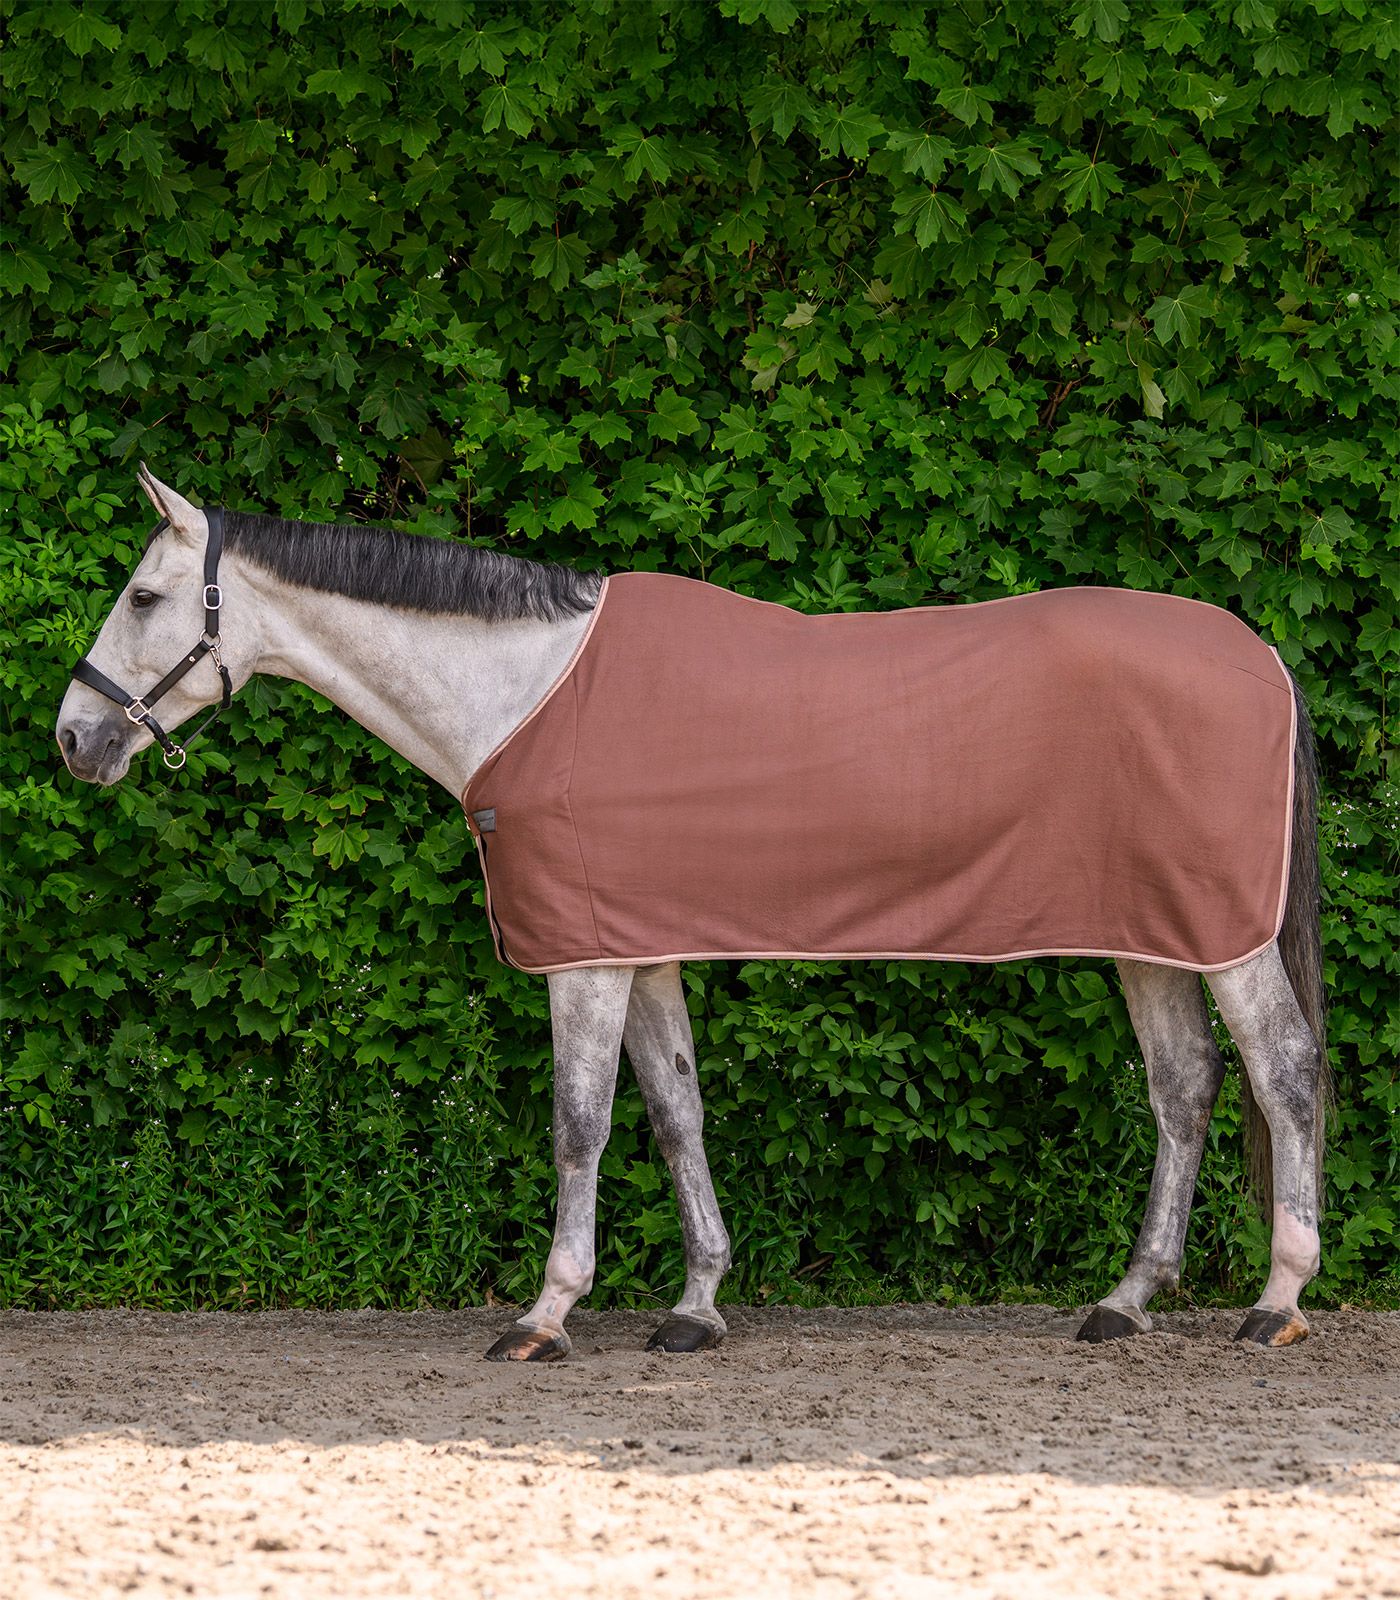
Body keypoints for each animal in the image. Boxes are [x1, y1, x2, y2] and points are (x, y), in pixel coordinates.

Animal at [55, 468, 1331, 1358]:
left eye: (144, 594)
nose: (75, 737)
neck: (525, 691)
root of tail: (1264, 654)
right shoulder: (639, 944)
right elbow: (676, 1112)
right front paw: (697, 1304)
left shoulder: (582, 958)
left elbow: (578, 1125)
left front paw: (544, 1314)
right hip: (1149, 935)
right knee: (1182, 1085)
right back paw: (1124, 1300)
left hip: (1226, 934)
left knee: (1281, 1068)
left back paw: (1275, 1299)